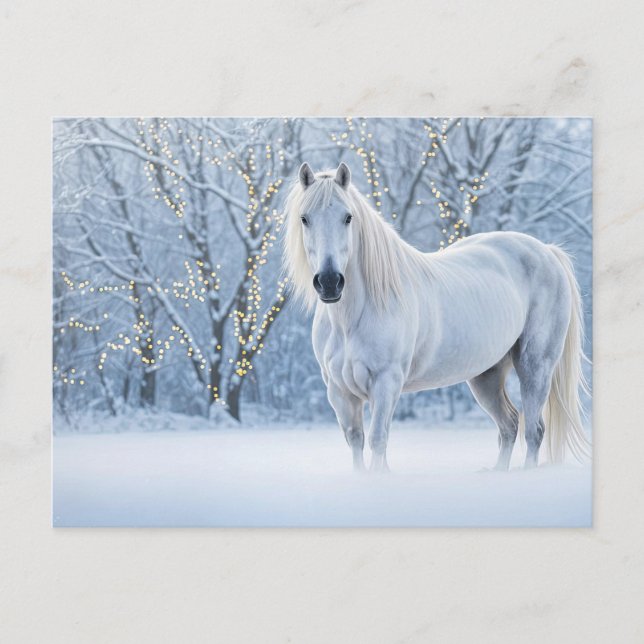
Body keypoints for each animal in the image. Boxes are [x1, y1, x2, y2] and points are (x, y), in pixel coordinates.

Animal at [282, 162, 590, 472]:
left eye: (348, 217)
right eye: (304, 219)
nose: (330, 282)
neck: (352, 319)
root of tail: (547, 251)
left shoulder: (386, 383)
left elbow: (378, 440)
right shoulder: (339, 392)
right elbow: (356, 442)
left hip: (535, 366)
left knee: (534, 430)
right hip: (487, 375)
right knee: (509, 425)